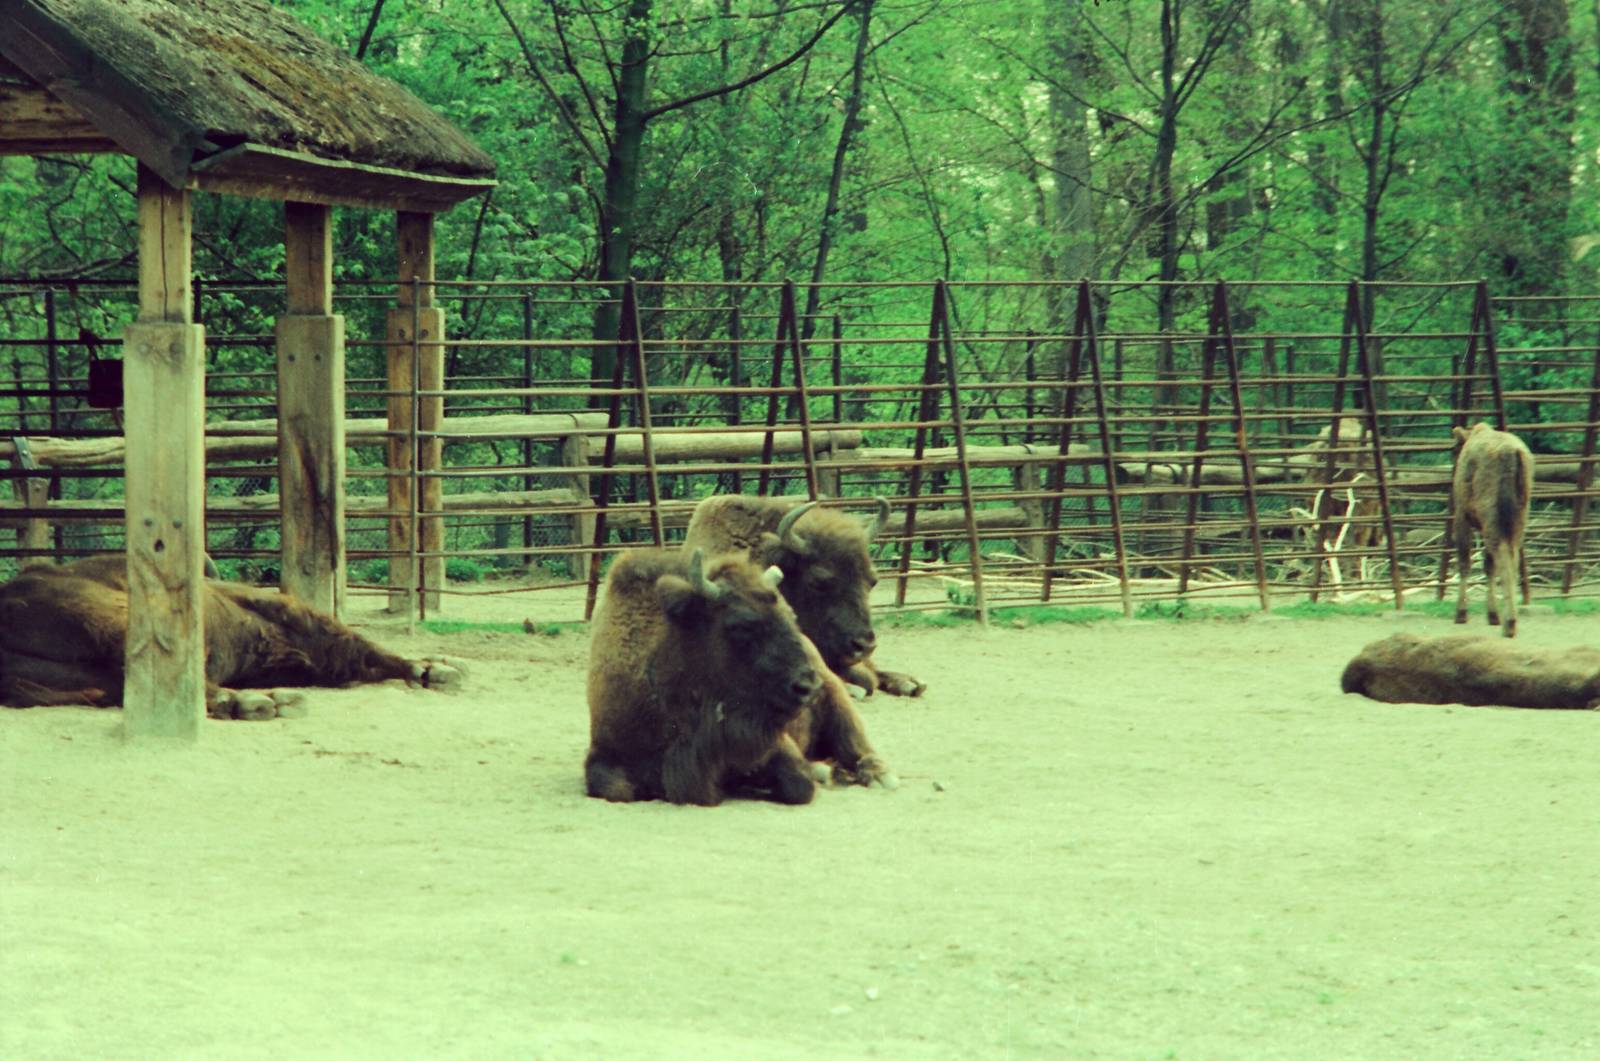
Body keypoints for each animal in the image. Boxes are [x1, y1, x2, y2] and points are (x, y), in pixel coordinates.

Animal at [584, 547, 894, 806]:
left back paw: (879, 776)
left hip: (837, 702)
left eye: (790, 615)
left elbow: (799, 785)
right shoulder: (606, 750)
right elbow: (616, 789)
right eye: (741, 625)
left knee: (858, 746)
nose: (807, 686)